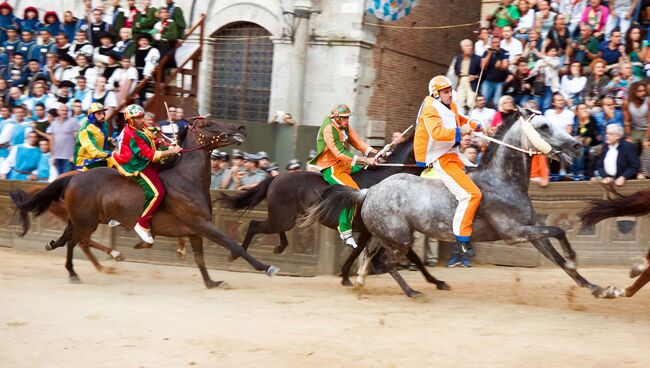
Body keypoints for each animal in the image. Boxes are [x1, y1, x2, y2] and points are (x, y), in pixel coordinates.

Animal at [11, 119, 278, 286]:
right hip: (85, 221)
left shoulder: (195, 231)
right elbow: (234, 245)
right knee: (76, 242)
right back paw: (78, 270)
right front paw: (266, 267)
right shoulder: (202, 225)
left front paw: (212, 283)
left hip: (82, 219)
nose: (241, 127)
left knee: (70, 239)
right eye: (208, 124)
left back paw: (59, 248)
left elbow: (200, 259)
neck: (187, 179)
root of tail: (72, 178)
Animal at [220, 135, 448, 290]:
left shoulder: (369, 231)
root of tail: (276, 178)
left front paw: (346, 276)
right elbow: (413, 256)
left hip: (285, 218)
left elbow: (357, 251)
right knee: (254, 225)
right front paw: (437, 281)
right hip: (281, 217)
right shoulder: (388, 231)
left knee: (274, 229)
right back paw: (235, 254)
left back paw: (279, 247)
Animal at [304, 110, 608, 298]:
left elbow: (558, 257)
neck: (503, 179)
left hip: (386, 234)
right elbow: (559, 231)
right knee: (388, 262)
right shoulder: (514, 233)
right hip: (399, 239)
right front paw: (575, 257)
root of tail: (370, 191)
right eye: (544, 126)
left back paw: (359, 281)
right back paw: (412, 291)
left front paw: (598, 288)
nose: (577, 145)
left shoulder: (532, 231)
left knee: (368, 254)